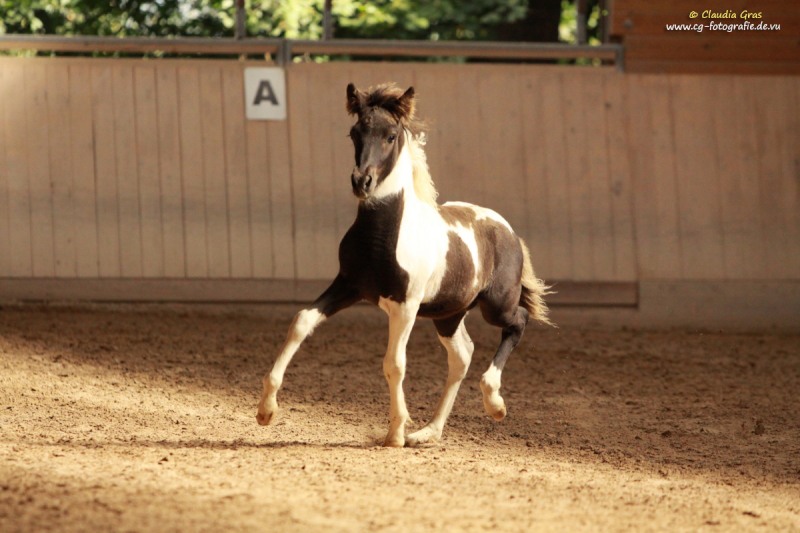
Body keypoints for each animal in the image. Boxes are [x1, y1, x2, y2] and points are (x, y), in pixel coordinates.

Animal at [256, 82, 553, 447]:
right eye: (354, 132)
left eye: (391, 135)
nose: (362, 182)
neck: (382, 236)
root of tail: (509, 231)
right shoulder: (348, 285)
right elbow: (301, 321)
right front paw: (266, 411)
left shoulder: (405, 306)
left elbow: (395, 363)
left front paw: (395, 432)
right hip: (448, 315)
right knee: (462, 355)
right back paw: (428, 432)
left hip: (495, 305)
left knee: (518, 322)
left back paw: (494, 404)